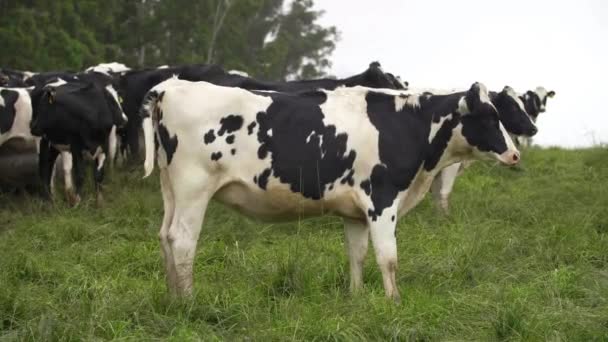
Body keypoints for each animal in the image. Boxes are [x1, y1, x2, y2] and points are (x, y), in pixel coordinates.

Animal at [30, 78, 127, 206]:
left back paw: (52, 197)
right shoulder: (76, 147)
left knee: (49, 165)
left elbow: (99, 174)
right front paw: (77, 201)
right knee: (43, 168)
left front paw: (99, 201)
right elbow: (80, 175)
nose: (124, 120)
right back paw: (49, 200)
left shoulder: (103, 146)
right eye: (42, 108)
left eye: (118, 101)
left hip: (55, 143)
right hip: (43, 140)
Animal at [140, 79, 520, 300]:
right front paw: (394, 302)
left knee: (165, 237)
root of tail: (170, 86)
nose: (515, 153)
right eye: (489, 117)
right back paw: (189, 301)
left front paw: (356, 299)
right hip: (194, 187)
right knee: (183, 240)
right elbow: (388, 257)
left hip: (171, 188)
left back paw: (173, 299)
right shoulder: (382, 200)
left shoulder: (355, 212)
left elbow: (357, 254)